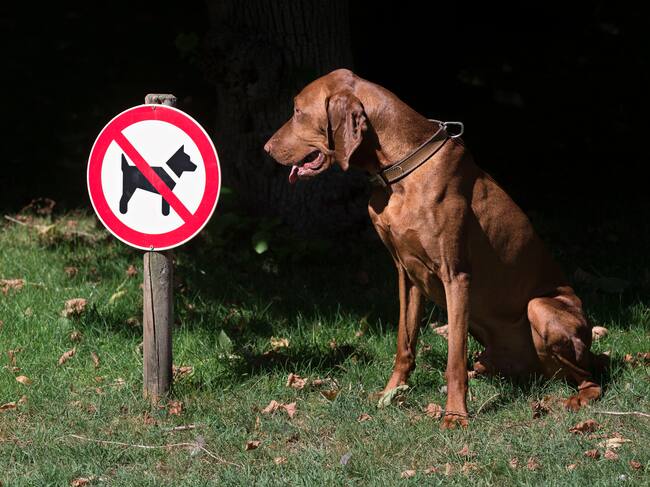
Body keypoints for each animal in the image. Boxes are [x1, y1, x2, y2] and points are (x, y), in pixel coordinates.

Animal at [264, 69, 603, 429]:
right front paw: (391, 393)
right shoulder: (406, 274)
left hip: (540, 307)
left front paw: (455, 414)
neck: (399, 172)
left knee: (591, 378)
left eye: (298, 111)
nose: (266, 148)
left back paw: (574, 398)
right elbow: (405, 342)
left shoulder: (456, 276)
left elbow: (454, 358)